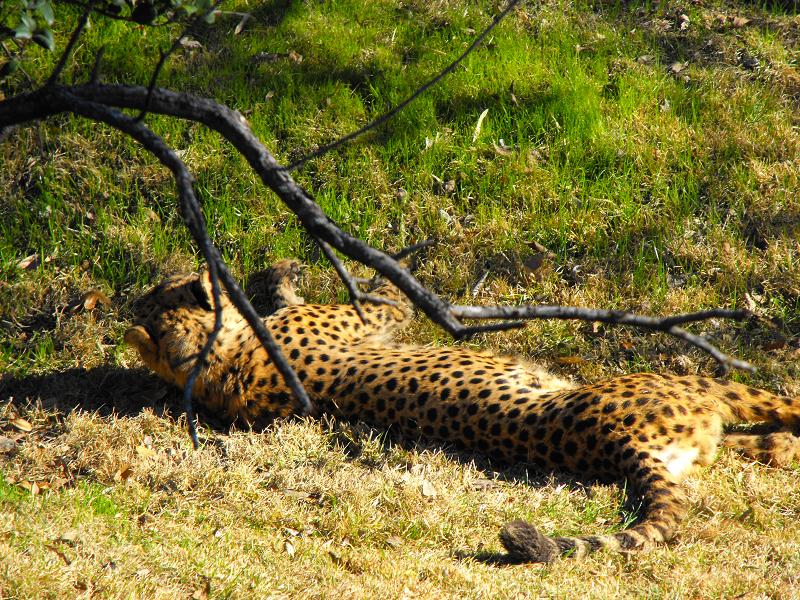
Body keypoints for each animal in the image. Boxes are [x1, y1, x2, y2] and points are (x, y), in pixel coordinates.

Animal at [124, 259, 800, 563]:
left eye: (158, 290)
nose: (190, 272)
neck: (219, 365)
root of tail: (618, 447)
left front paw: (278, 272)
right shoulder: (376, 315)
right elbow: (389, 292)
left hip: (702, 433)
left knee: (767, 444)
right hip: (703, 387)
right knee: (782, 409)